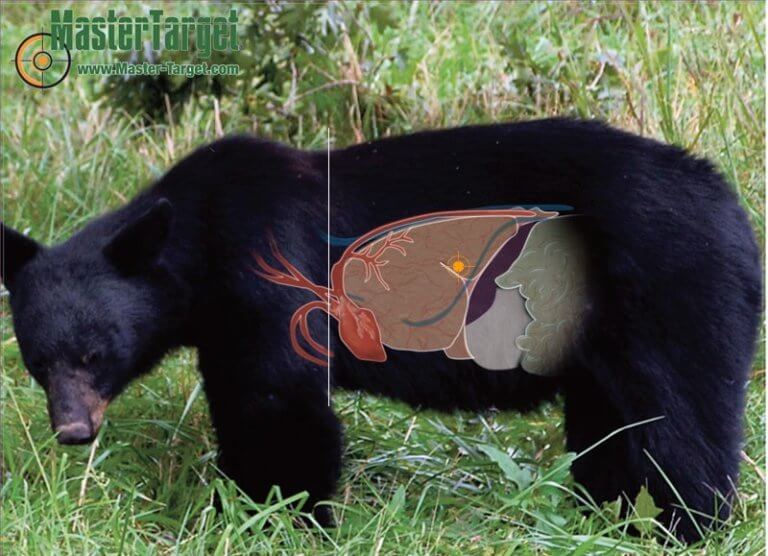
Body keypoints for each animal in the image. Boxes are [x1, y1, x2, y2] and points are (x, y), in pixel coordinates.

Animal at [1, 118, 761, 541]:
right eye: (38, 361)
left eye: (95, 354)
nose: (72, 431)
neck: (201, 248)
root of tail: (733, 207)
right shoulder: (223, 326)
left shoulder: (272, 278)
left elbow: (281, 409)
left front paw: (271, 517)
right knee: (611, 434)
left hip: (671, 293)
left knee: (681, 429)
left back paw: (681, 529)